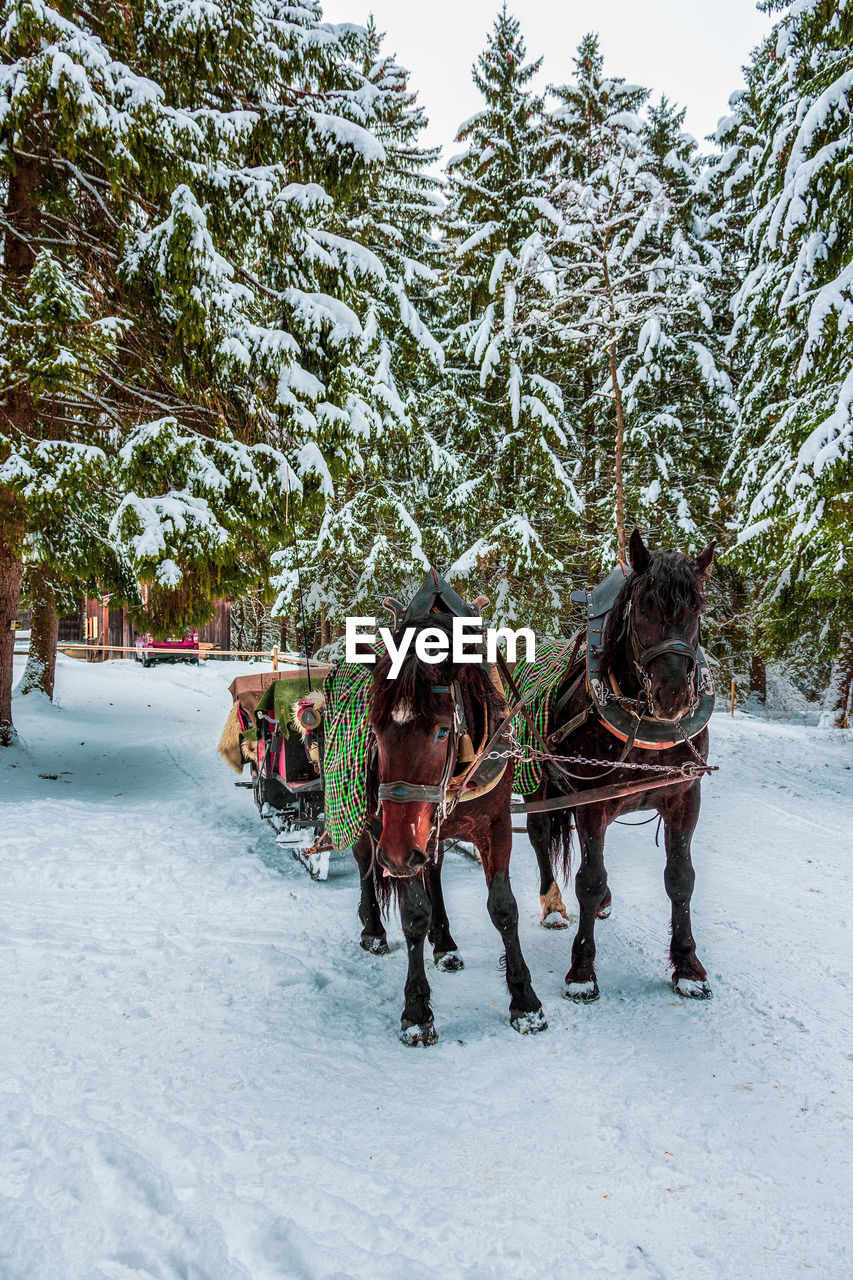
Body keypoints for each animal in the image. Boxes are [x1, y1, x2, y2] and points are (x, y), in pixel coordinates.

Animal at [350, 614, 545, 1044]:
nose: (396, 854)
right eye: (375, 729)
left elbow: (504, 908)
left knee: (434, 869)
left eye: (441, 731)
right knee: (363, 859)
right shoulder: (394, 835)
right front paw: (417, 1010)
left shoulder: (496, 825)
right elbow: (413, 915)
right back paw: (373, 928)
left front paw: (525, 1001)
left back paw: (445, 943)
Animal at [527, 527, 712, 998]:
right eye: (644, 606)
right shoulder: (592, 801)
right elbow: (589, 881)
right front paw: (581, 972)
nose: (672, 694)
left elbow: (681, 879)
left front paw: (687, 966)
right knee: (539, 834)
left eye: (697, 607)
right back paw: (552, 905)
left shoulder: (685, 795)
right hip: (537, 779)